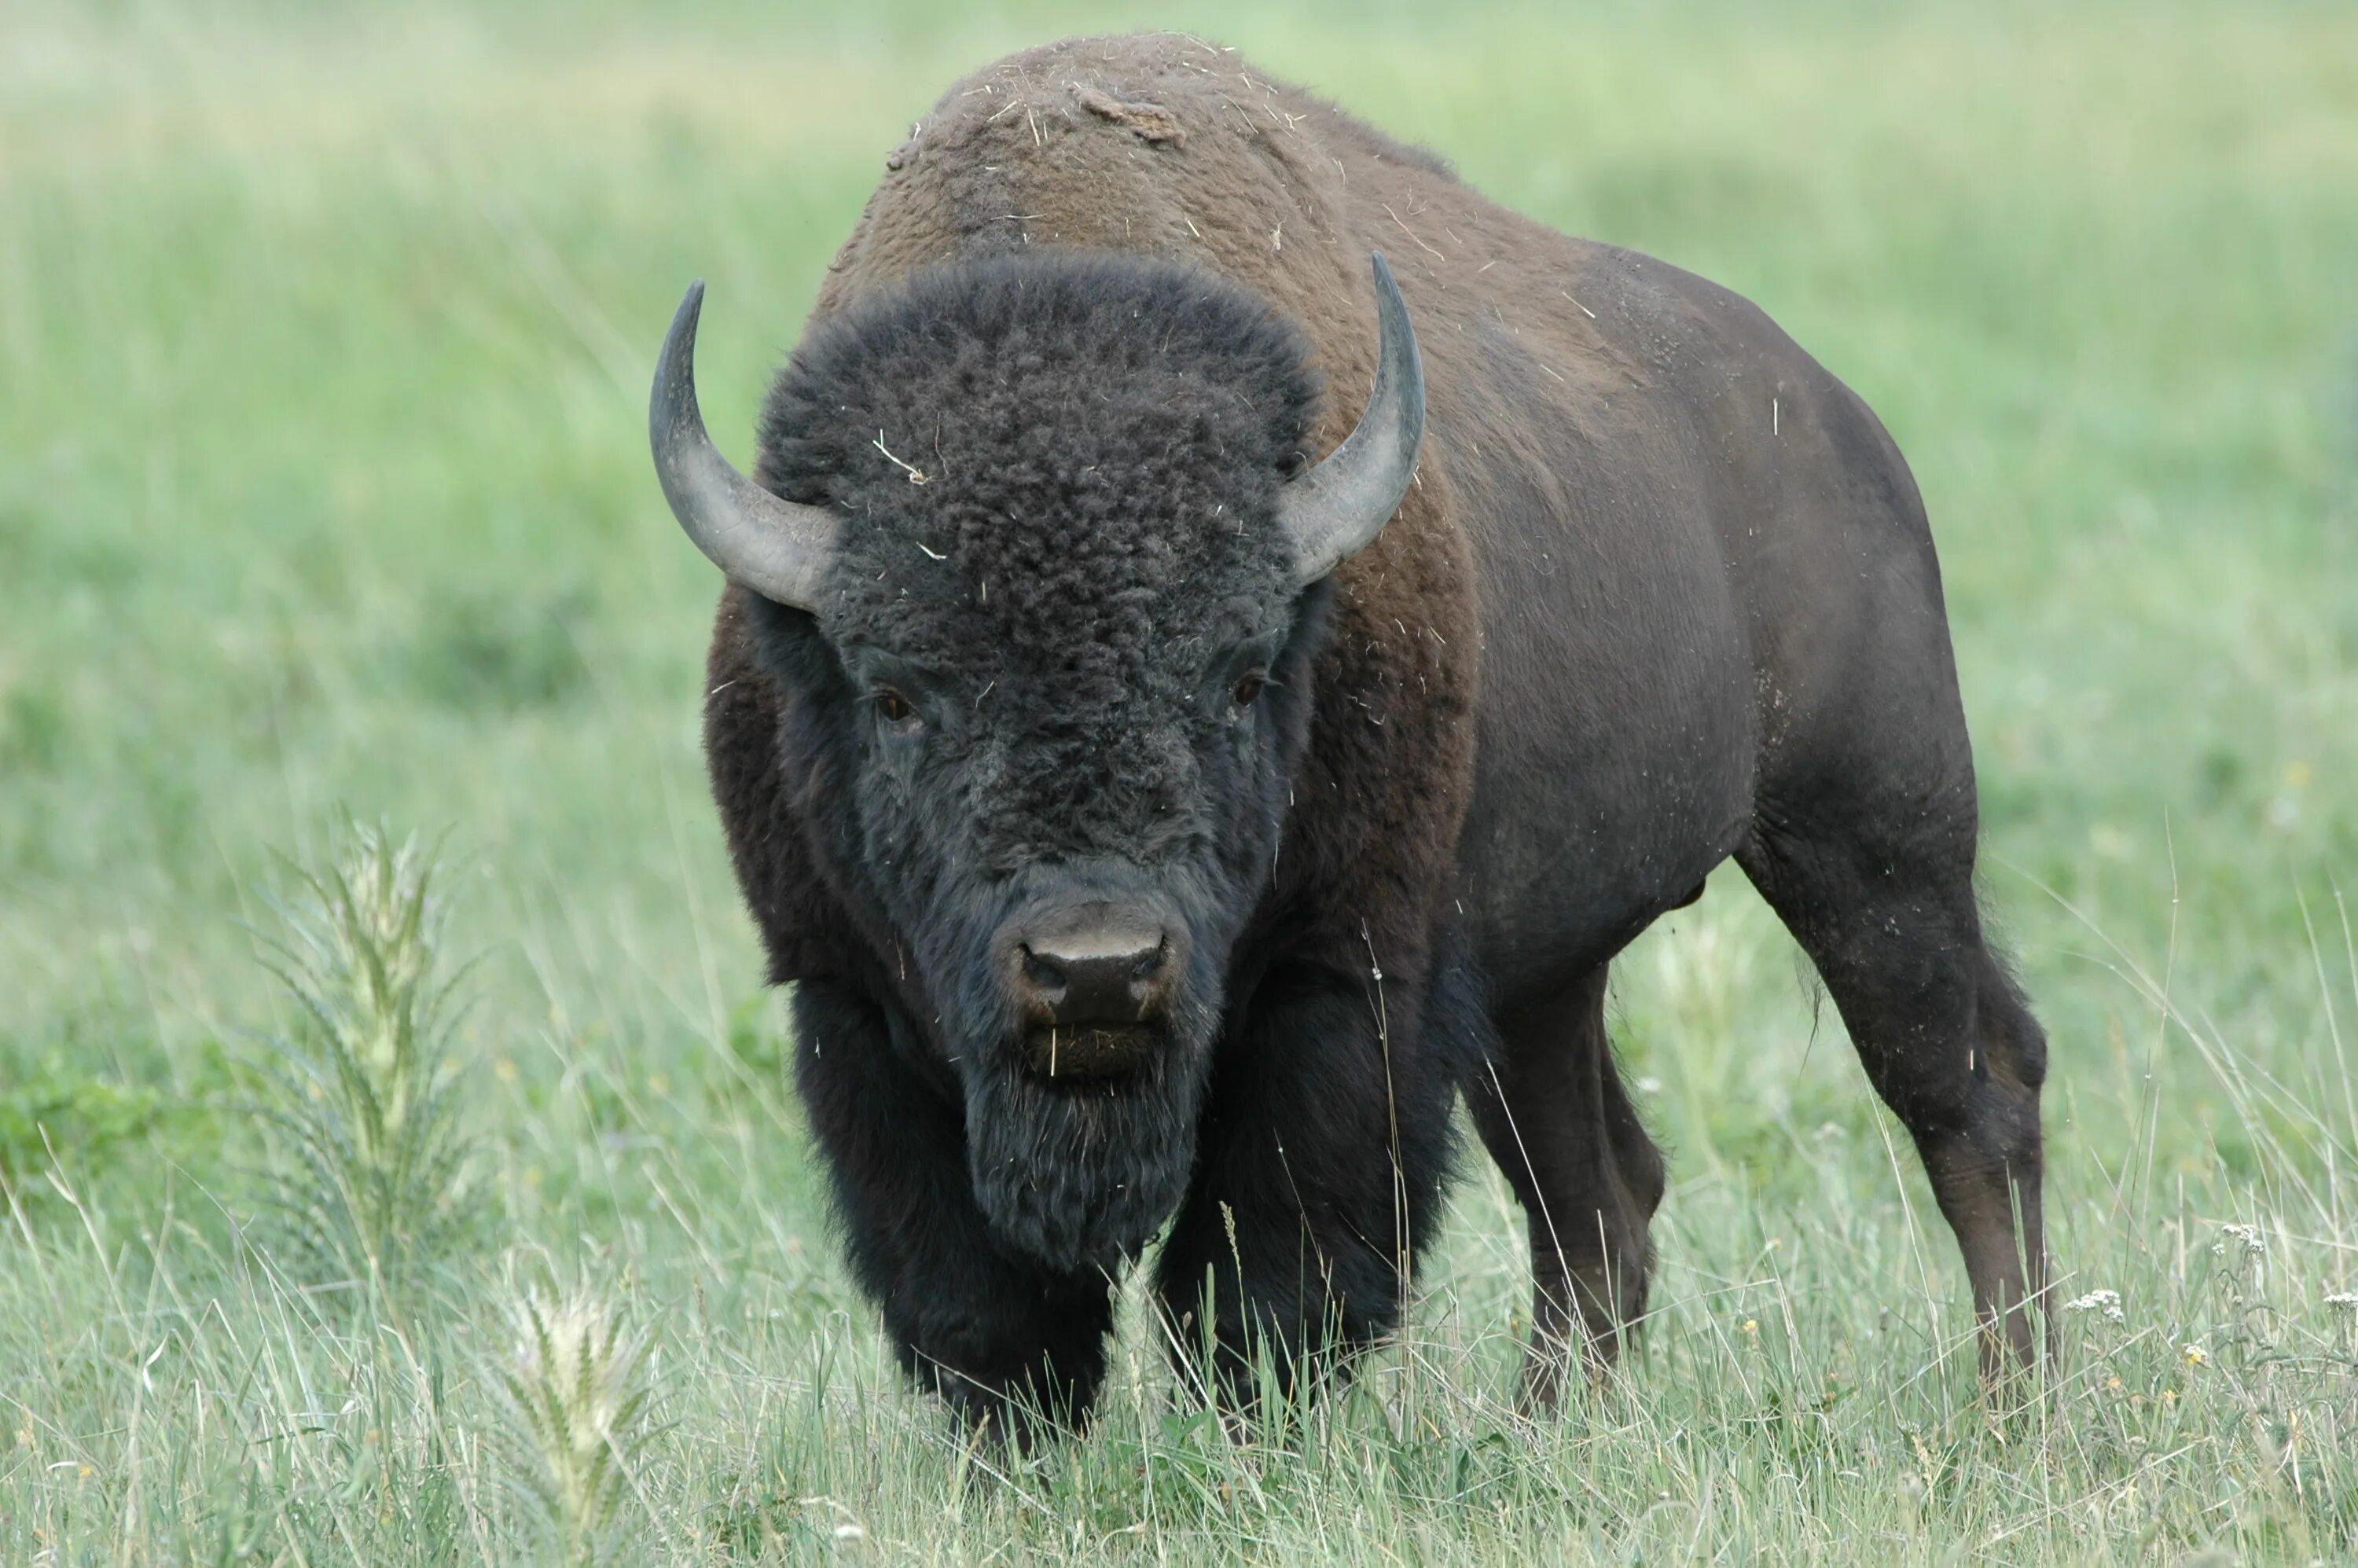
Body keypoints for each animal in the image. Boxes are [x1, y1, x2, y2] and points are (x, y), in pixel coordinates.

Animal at [646, 31, 2047, 1424]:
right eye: (895, 693)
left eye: (1243, 675)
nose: (1096, 966)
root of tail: (1834, 421)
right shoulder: (850, 1003)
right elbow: (983, 1313)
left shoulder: (1347, 983)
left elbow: (1270, 1279)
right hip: (1544, 970)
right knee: (1599, 1187)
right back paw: (1550, 1426)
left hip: (1873, 850)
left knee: (1973, 1097)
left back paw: (2012, 1412)